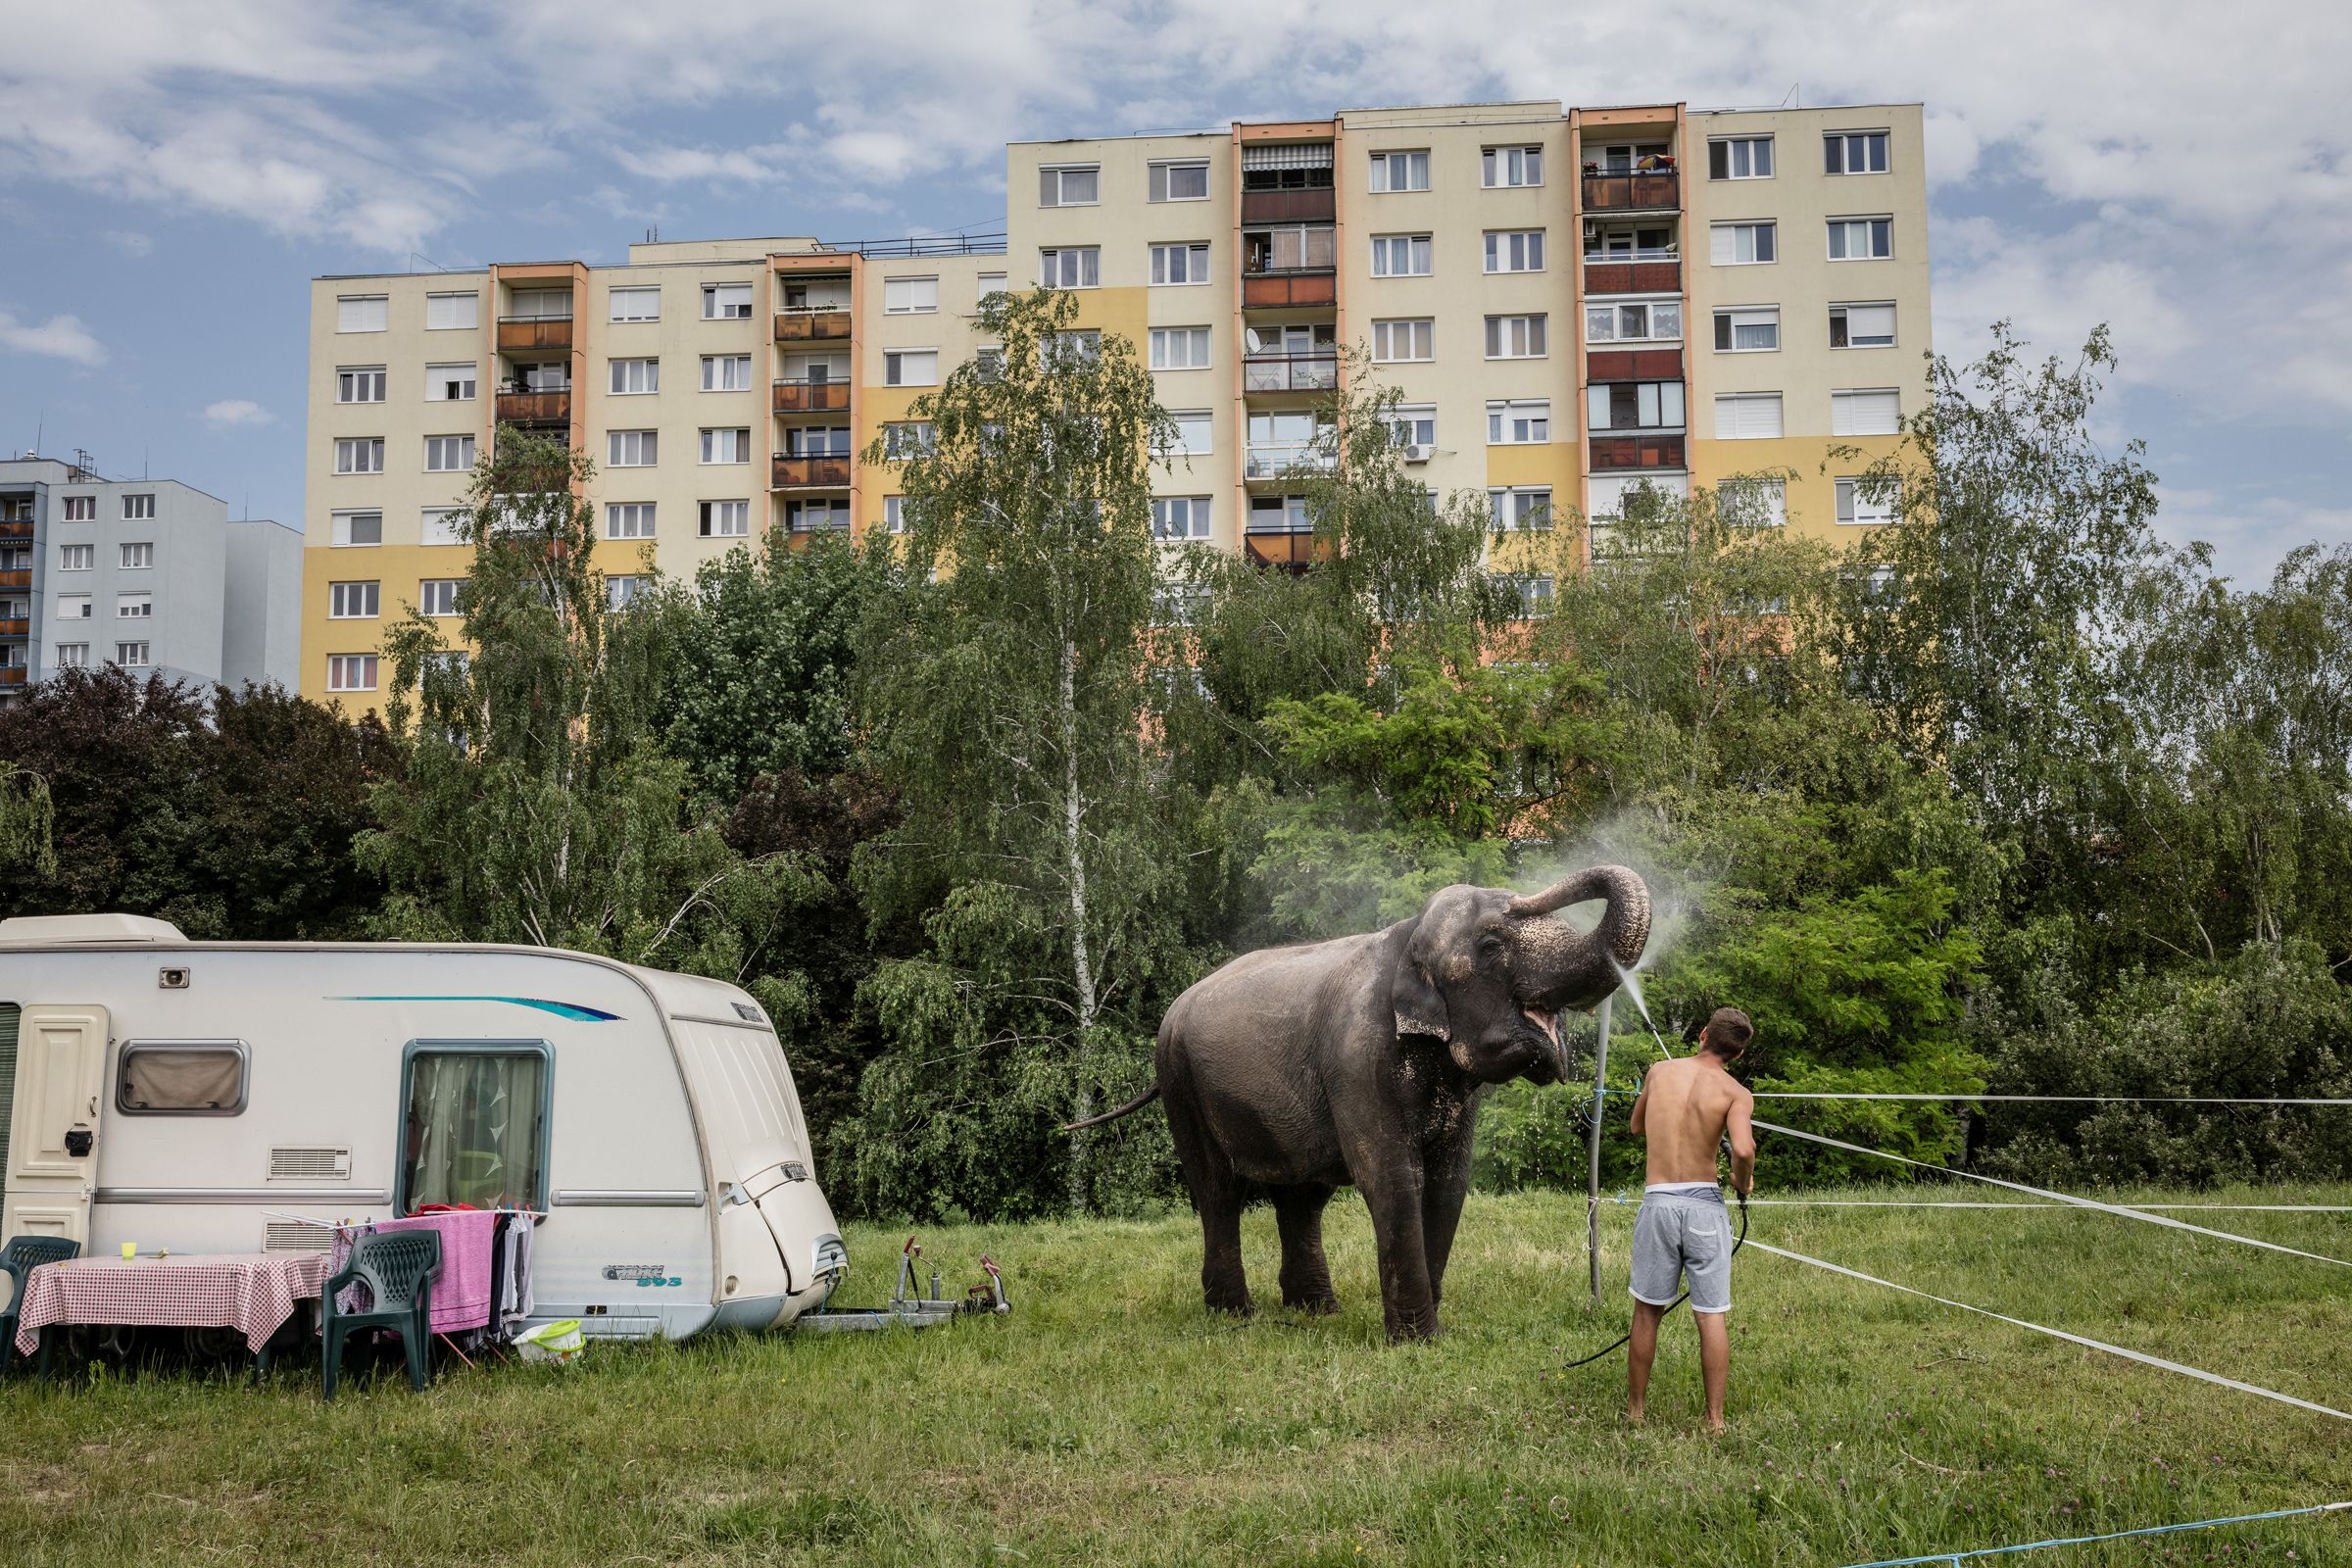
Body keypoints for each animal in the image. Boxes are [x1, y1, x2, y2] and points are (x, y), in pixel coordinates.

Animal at [1072, 864, 1655, 1345]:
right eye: (1491, 945)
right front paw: (1417, 1342)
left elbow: (1449, 1182)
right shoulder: (1357, 1061)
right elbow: (1393, 1177)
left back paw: (1314, 1312)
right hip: (1181, 1084)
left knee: (1302, 1197)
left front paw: (1430, 1332)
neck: (1407, 937)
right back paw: (1234, 1315)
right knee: (1218, 1193)